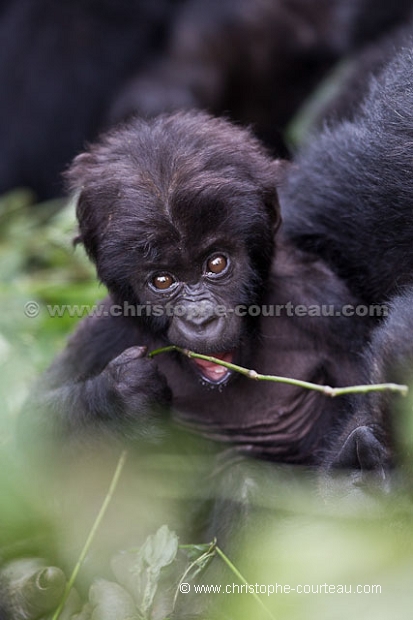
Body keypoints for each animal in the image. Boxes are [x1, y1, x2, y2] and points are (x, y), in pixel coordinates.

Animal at [33, 112, 376, 470]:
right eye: (162, 281)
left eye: (215, 263)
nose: (200, 319)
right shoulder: (105, 331)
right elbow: (29, 440)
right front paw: (120, 394)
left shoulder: (323, 305)